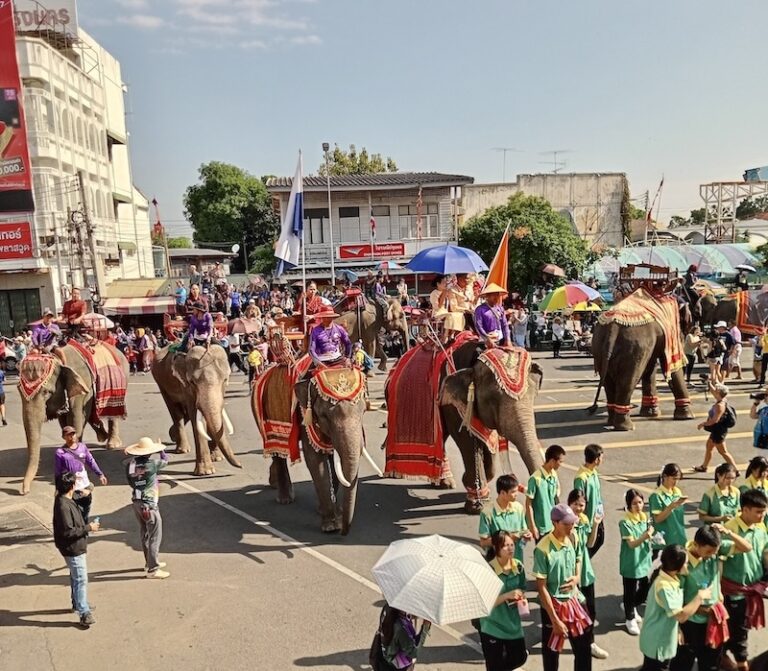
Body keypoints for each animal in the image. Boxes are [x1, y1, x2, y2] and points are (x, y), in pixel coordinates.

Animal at [17, 344, 127, 496]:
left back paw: (112, 444)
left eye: (46, 392)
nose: (24, 491)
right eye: (18, 390)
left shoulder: (83, 387)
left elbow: (77, 418)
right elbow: (64, 421)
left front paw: (76, 451)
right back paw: (102, 436)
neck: (59, 359)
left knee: (112, 413)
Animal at [152, 346, 242, 478]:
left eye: (225, 379)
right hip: (161, 383)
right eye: (192, 382)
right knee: (175, 412)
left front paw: (217, 458)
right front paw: (205, 472)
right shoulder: (185, 385)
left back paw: (173, 435)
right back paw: (182, 449)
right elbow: (194, 415)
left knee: (183, 414)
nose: (241, 465)